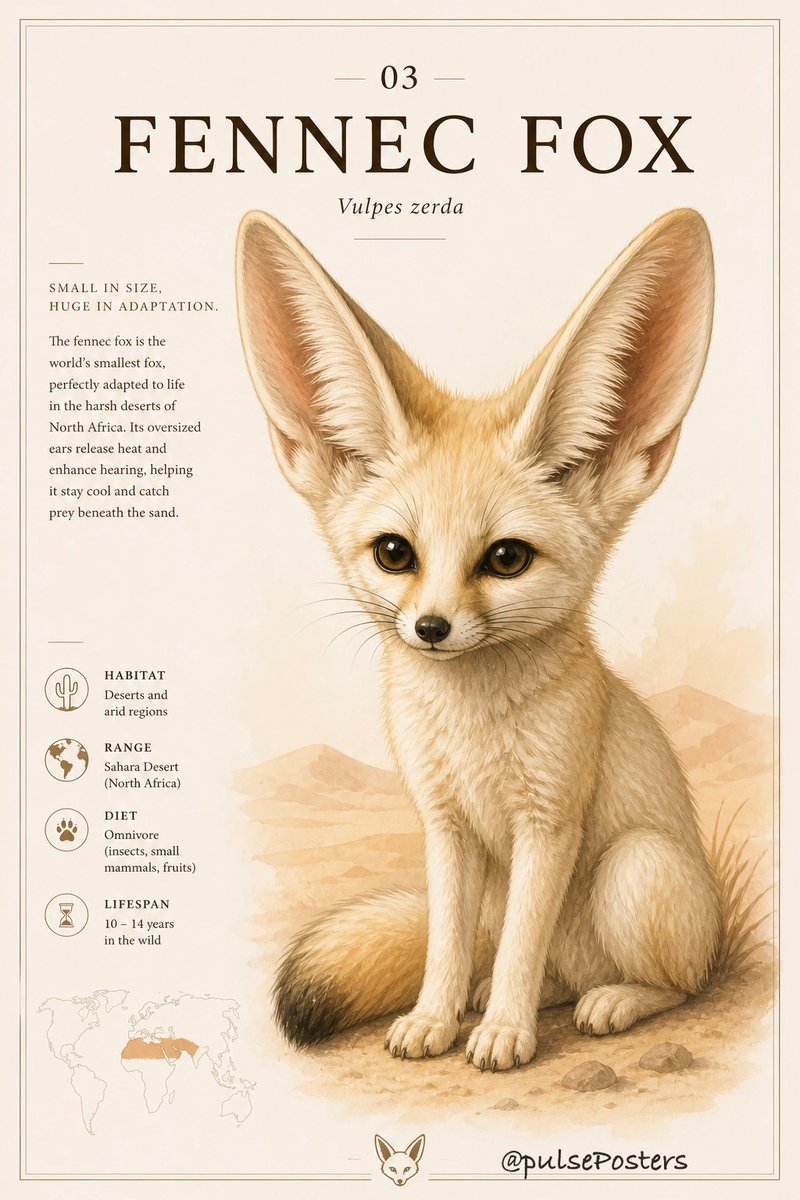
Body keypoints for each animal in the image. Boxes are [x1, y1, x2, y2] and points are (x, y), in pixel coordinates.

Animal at [235, 206, 721, 1072]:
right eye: (396, 553)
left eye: (506, 559)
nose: (430, 628)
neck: (471, 727)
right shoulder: (445, 827)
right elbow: (448, 943)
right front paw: (435, 1017)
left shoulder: (548, 824)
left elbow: (522, 943)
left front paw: (502, 1034)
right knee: (522, 961)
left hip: (635, 870)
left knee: (682, 980)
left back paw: (613, 1000)